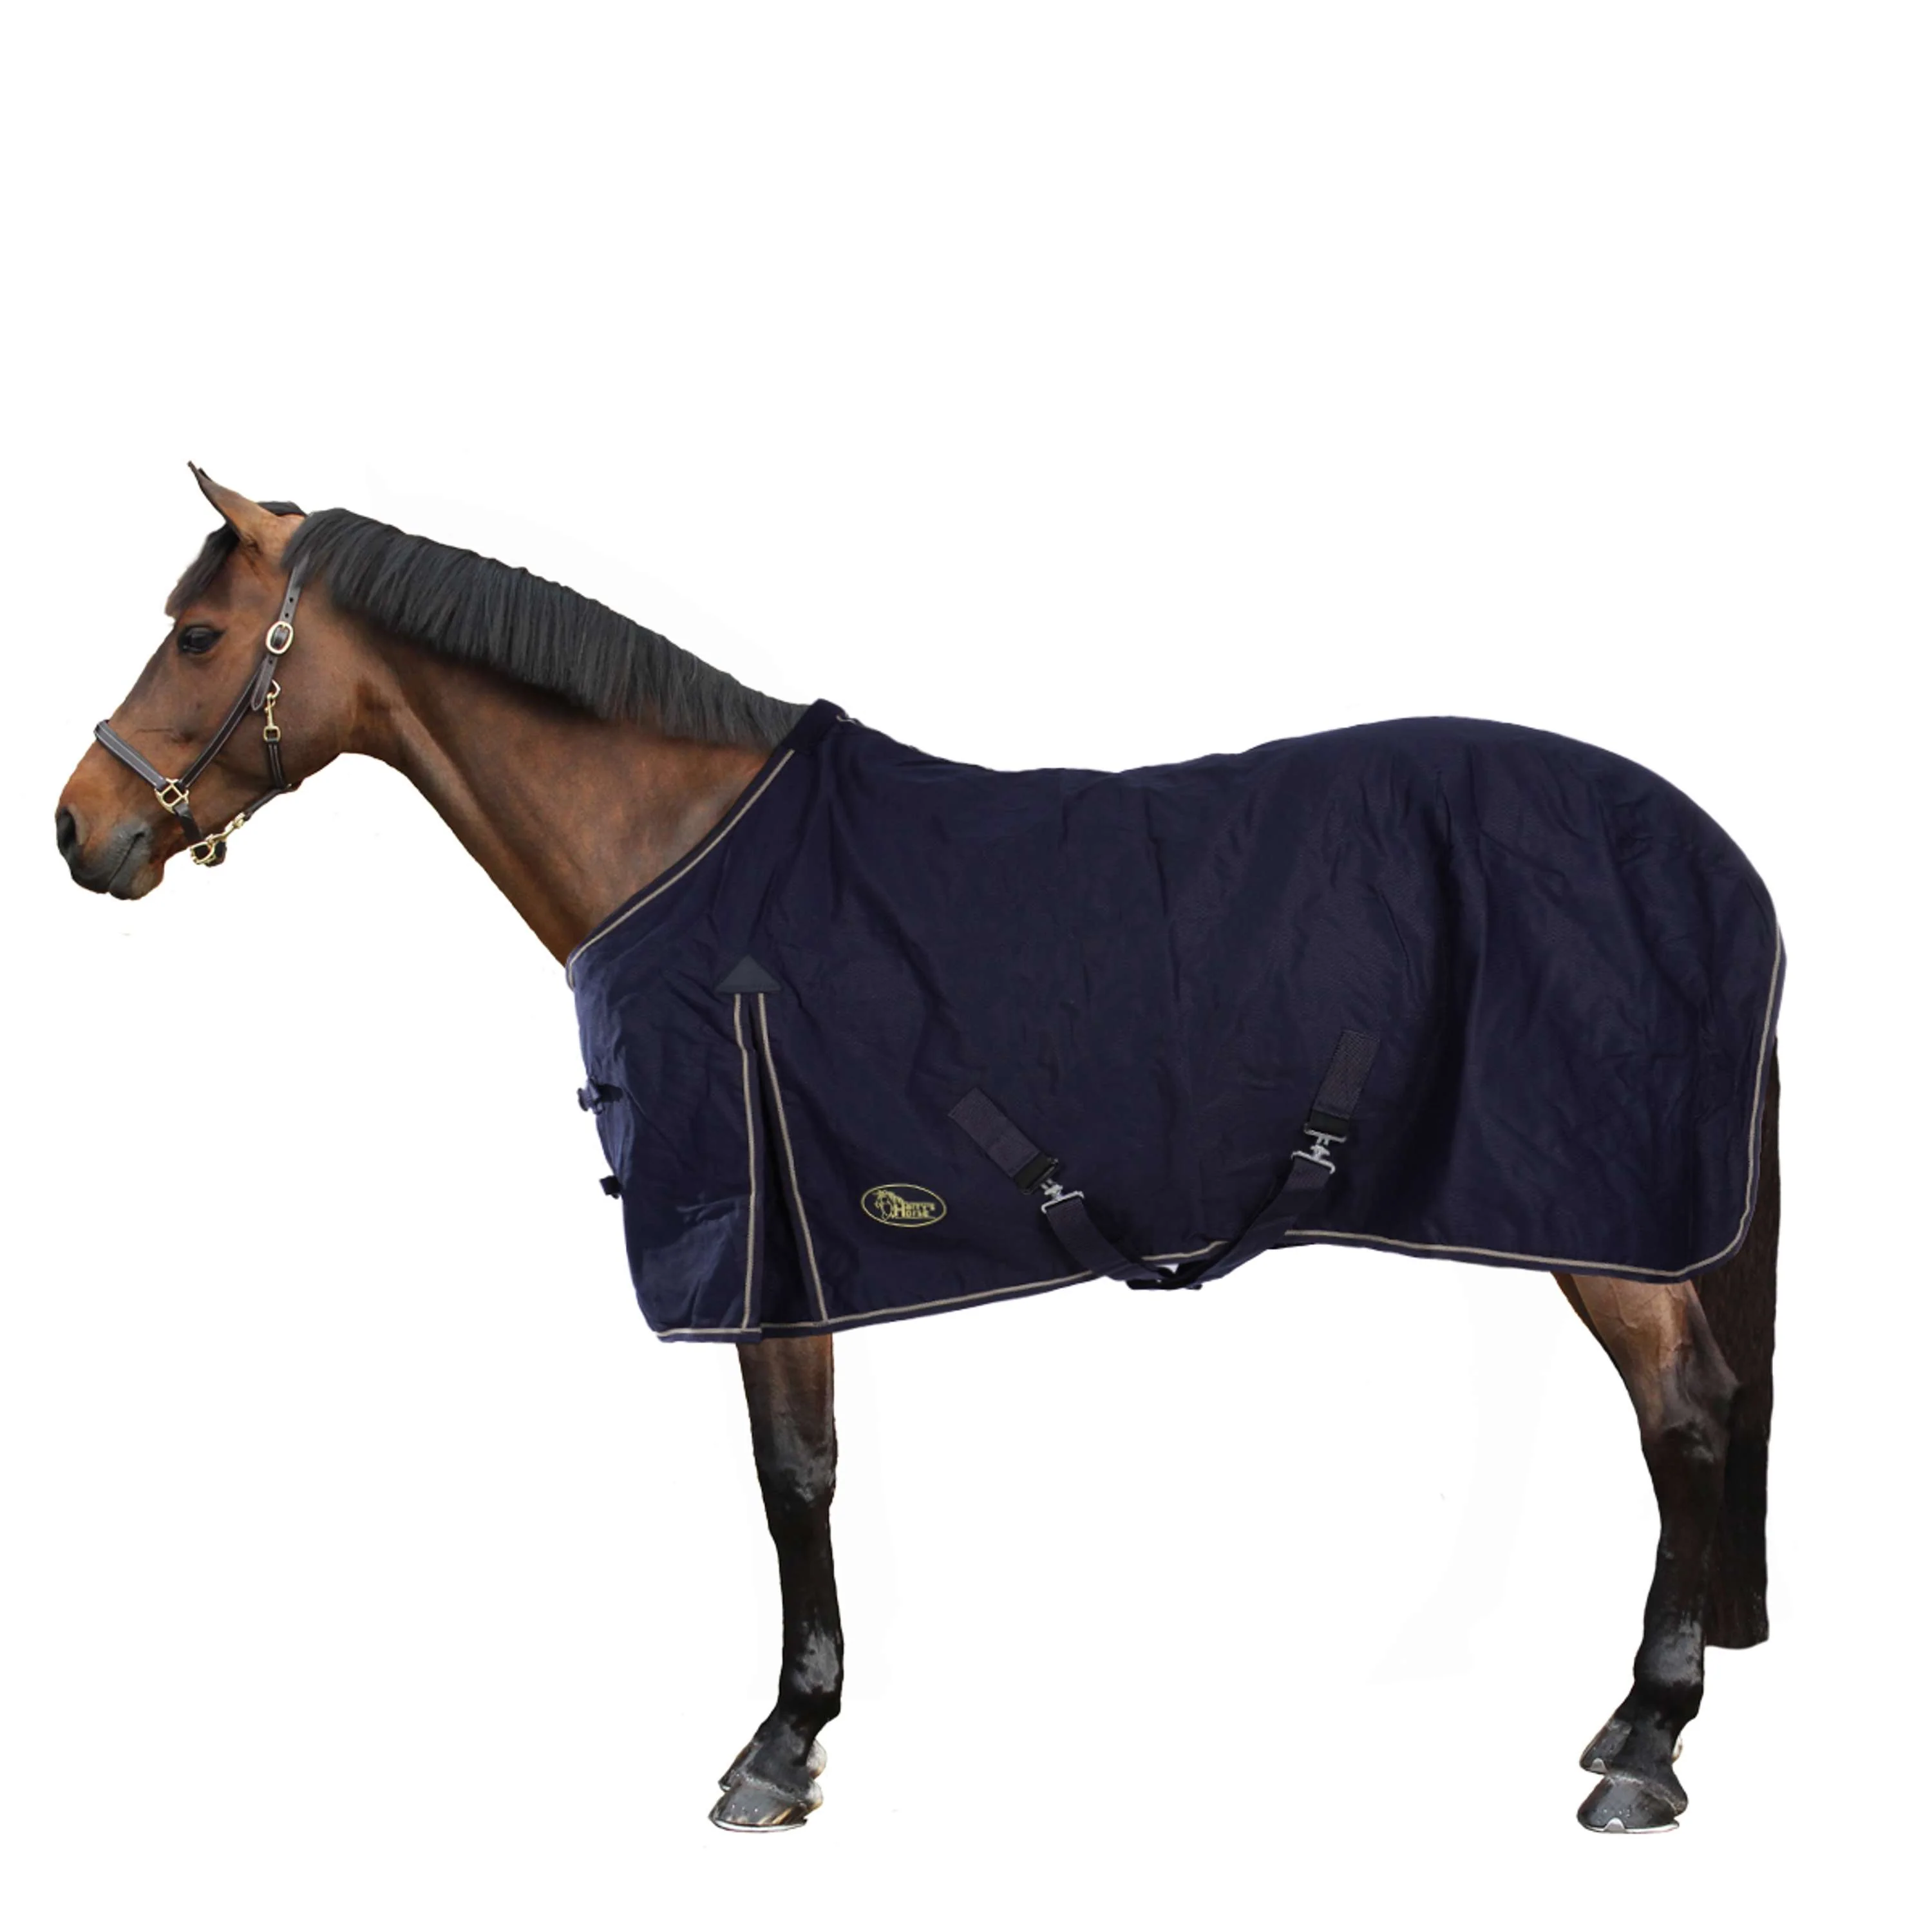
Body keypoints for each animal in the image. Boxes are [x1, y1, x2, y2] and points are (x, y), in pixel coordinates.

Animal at [56, 469, 1781, 1836]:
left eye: (199, 636)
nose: (81, 831)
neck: (684, 855)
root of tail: (1716, 856)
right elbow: (801, 1473)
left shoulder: (768, 1243)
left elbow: (793, 1477)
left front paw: (780, 1744)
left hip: (1601, 1221)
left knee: (1686, 1416)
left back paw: (1646, 1744)